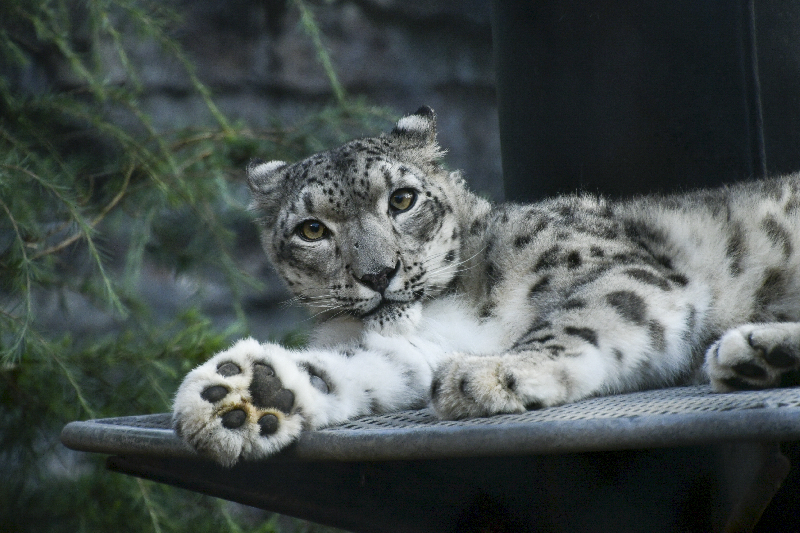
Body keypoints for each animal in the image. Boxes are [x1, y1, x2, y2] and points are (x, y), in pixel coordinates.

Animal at [173, 106, 800, 464]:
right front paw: (244, 394)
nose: (378, 274)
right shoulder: (413, 346)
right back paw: (757, 356)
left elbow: (578, 319)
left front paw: (490, 374)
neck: (456, 312)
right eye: (312, 229)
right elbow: (360, 366)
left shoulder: (625, 269)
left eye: (402, 199)